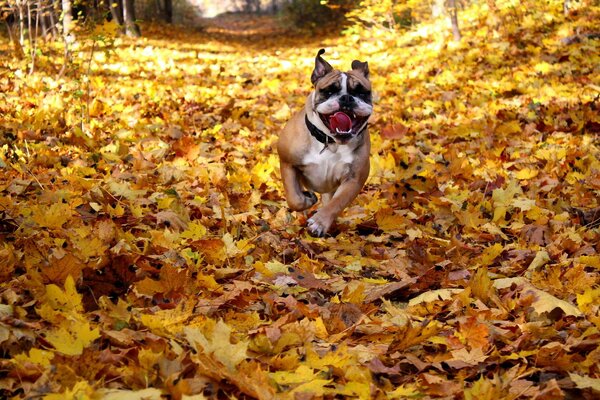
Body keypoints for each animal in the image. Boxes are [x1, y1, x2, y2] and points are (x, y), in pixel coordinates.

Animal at [278, 48, 372, 236]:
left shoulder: (354, 179)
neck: (331, 142)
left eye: (361, 93)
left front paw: (320, 222)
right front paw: (307, 200)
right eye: (328, 92)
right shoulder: (287, 162)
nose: (346, 98)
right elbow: (294, 198)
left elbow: (337, 203)